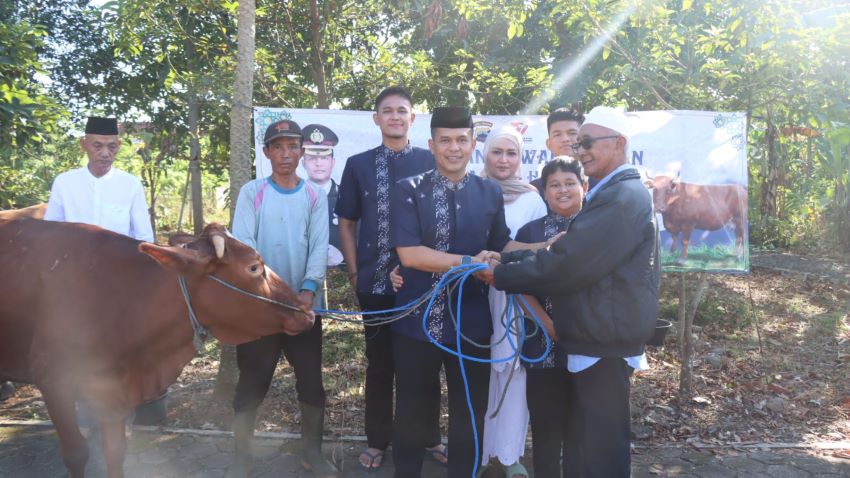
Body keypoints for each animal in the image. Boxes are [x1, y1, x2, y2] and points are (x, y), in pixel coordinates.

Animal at [0, 218, 314, 476]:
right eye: (254, 266)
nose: (306, 309)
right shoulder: (54, 382)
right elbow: (77, 454)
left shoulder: (110, 388)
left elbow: (115, 453)